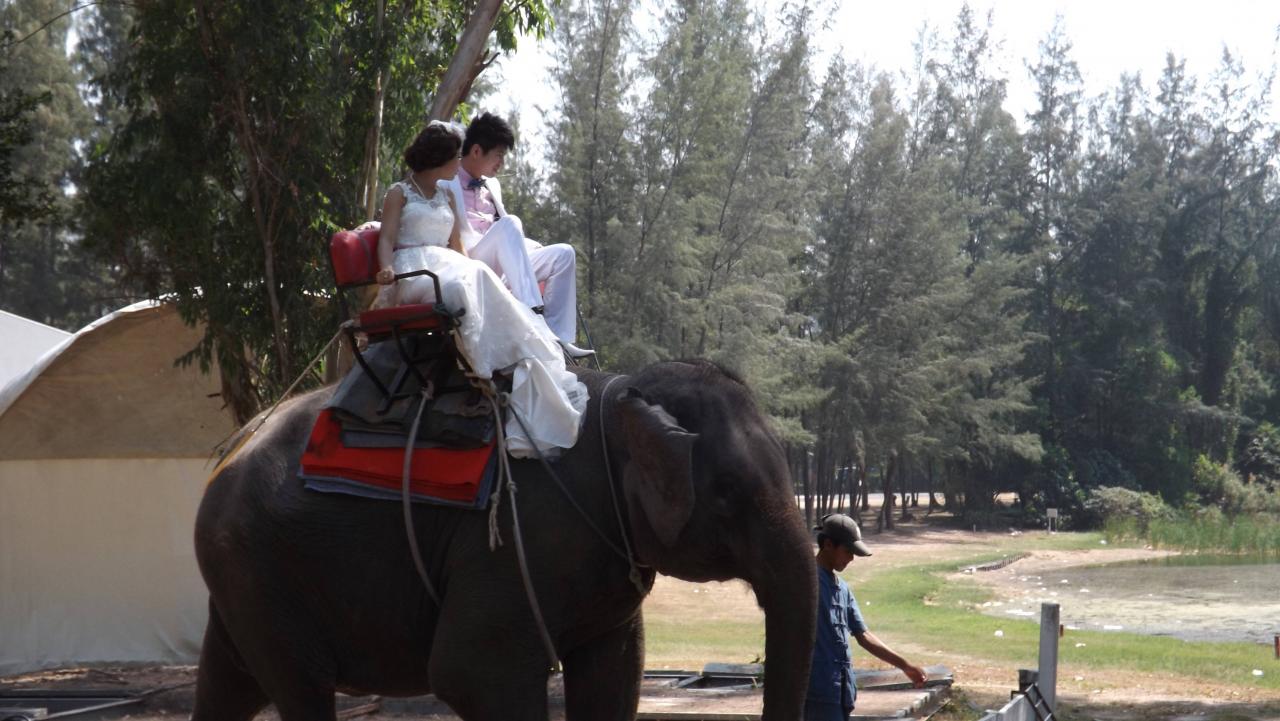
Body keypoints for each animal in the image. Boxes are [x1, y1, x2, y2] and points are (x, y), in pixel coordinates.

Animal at [192, 359, 818, 721]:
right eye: (728, 493)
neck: (618, 399)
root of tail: (228, 453)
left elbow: (616, 671)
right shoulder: (517, 541)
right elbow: (469, 670)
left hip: (244, 581)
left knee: (229, 682)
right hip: (261, 569)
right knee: (301, 689)